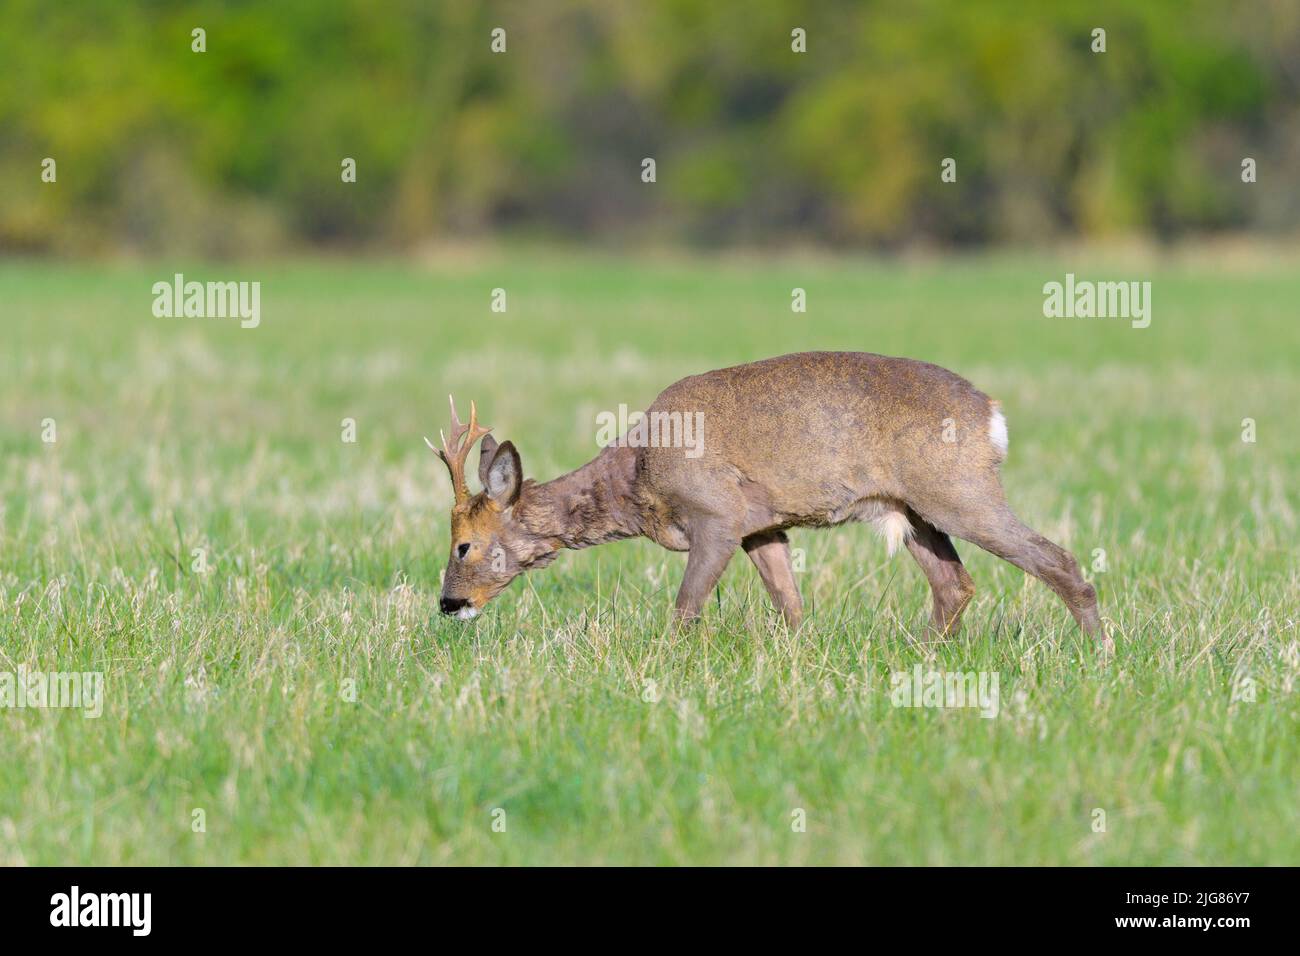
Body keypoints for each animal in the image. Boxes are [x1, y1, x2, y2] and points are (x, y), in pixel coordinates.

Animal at [428, 351, 1107, 650]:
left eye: (464, 545)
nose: (448, 603)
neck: (638, 478)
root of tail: (992, 414)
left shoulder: (718, 516)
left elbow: (684, 608)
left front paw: (664, 666)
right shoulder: (763, 526)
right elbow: (791, 604)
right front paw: (798, 657)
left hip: (959, 490)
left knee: (1061, 562)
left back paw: (1098, 654)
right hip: (914, 509)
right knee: (955, 585)